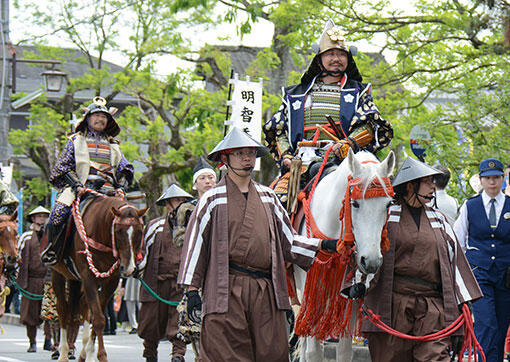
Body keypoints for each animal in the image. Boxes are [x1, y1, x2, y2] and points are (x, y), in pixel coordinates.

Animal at [50, 195, 146, 362]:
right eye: (118, 231)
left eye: (140, 232)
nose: (129, 268)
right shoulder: (89, 277)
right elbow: (99, 319)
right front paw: (101, 355)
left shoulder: (111, 282)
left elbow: (97, 317)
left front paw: (88, 353)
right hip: (58, 272)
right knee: (62, 309)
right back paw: (62, 353)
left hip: (76, 280)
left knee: (79, 307)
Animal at [292, 148, 396, 362]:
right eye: (354, 204)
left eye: (388, 204)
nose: (371, 261)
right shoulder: (313, 293)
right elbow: (314, 352)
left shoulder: (351, 298)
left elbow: (344, 352)